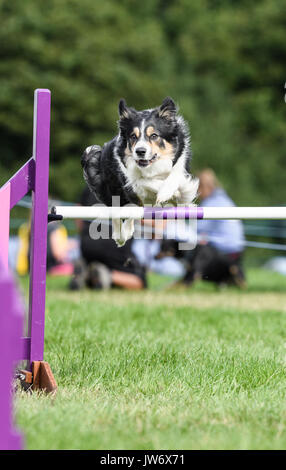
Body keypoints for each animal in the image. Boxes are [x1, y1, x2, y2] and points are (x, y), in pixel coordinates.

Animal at [80, 98, 197, 248]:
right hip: (108, 187)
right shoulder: (130, 182)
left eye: (154, 135)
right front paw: (167, 192)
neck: (153, 167)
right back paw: (120, 236)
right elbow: (142, 181)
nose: (140, 151)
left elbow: (176, 178)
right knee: (117, 211)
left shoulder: (180, 165)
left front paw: (170, 192)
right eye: (133, 136)